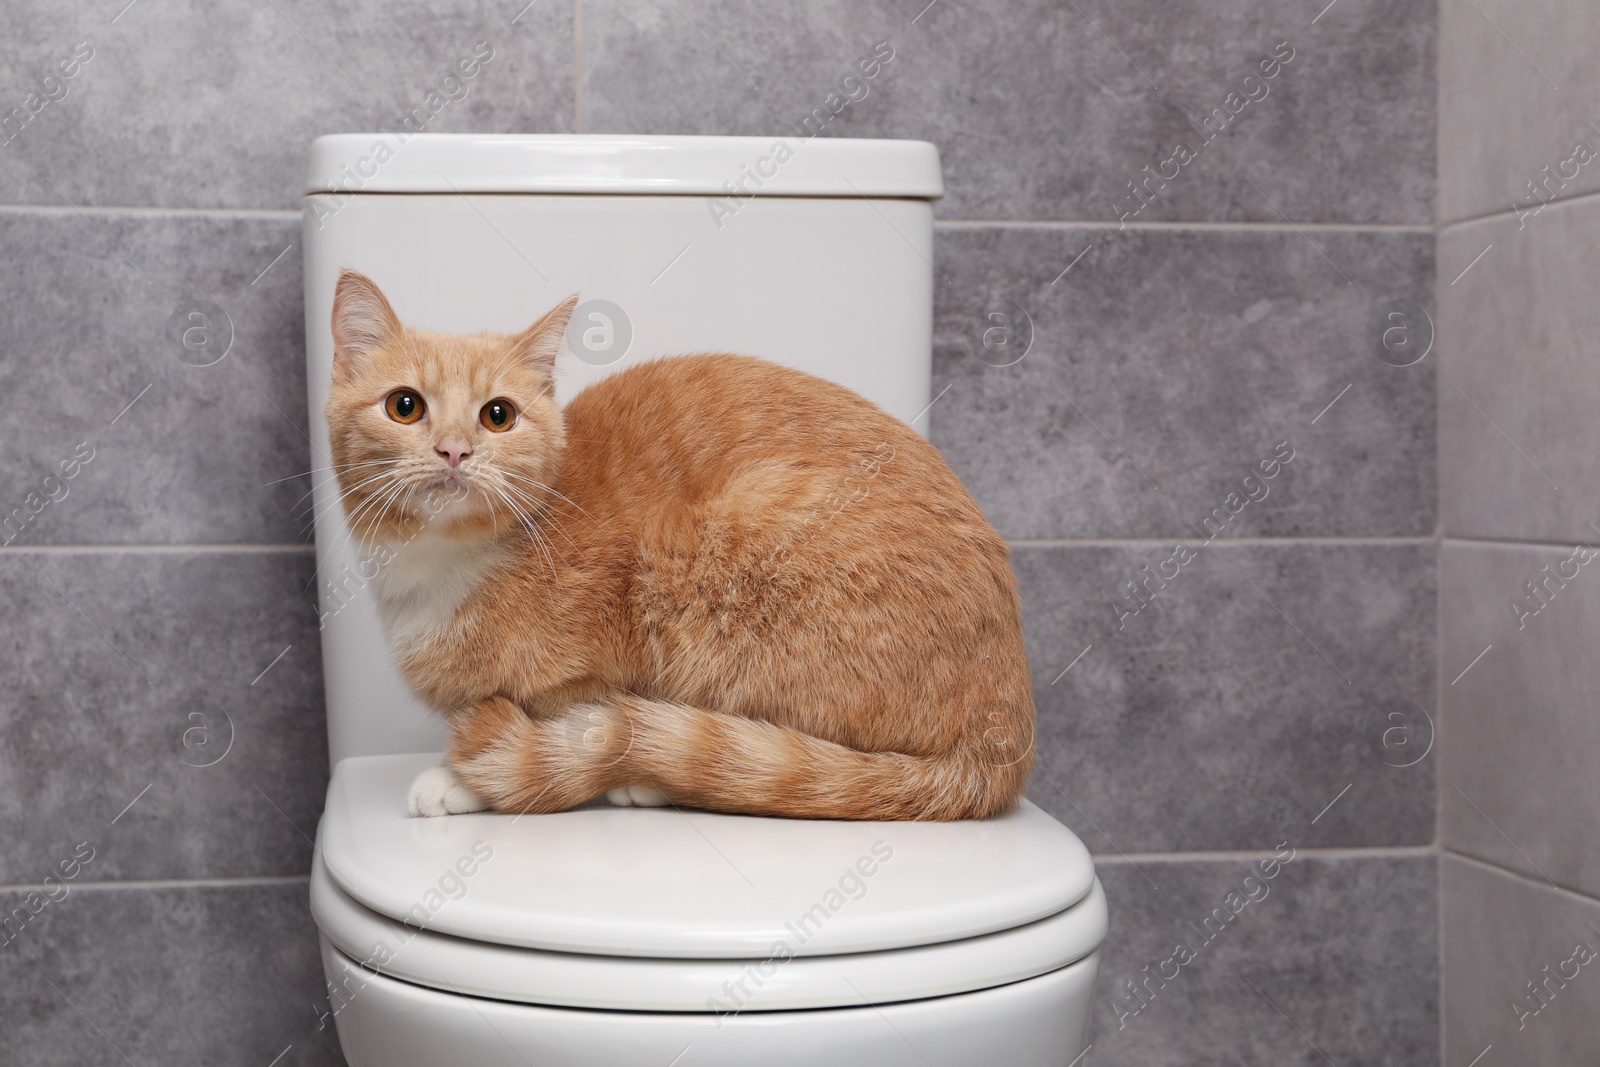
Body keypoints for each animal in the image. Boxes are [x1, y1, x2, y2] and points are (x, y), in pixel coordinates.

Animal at [321, 271, 1036, 825]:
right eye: (405, 406)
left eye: (498, 415)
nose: (454, 451)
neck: (444, 563)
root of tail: (1006, 734)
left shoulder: (587, 674)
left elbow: (580, 729)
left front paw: (465, 779)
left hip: (723, 545)